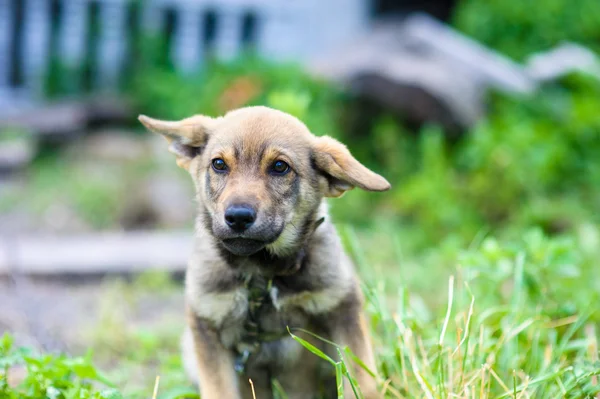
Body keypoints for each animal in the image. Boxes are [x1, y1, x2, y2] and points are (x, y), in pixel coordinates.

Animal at [141, 106, 394, 399]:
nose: (238, 217)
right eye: (219, 164)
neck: (262, 271)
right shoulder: (208, 325)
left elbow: (361, 380)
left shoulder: (342, 308)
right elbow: (219, 389)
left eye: (280, 167)